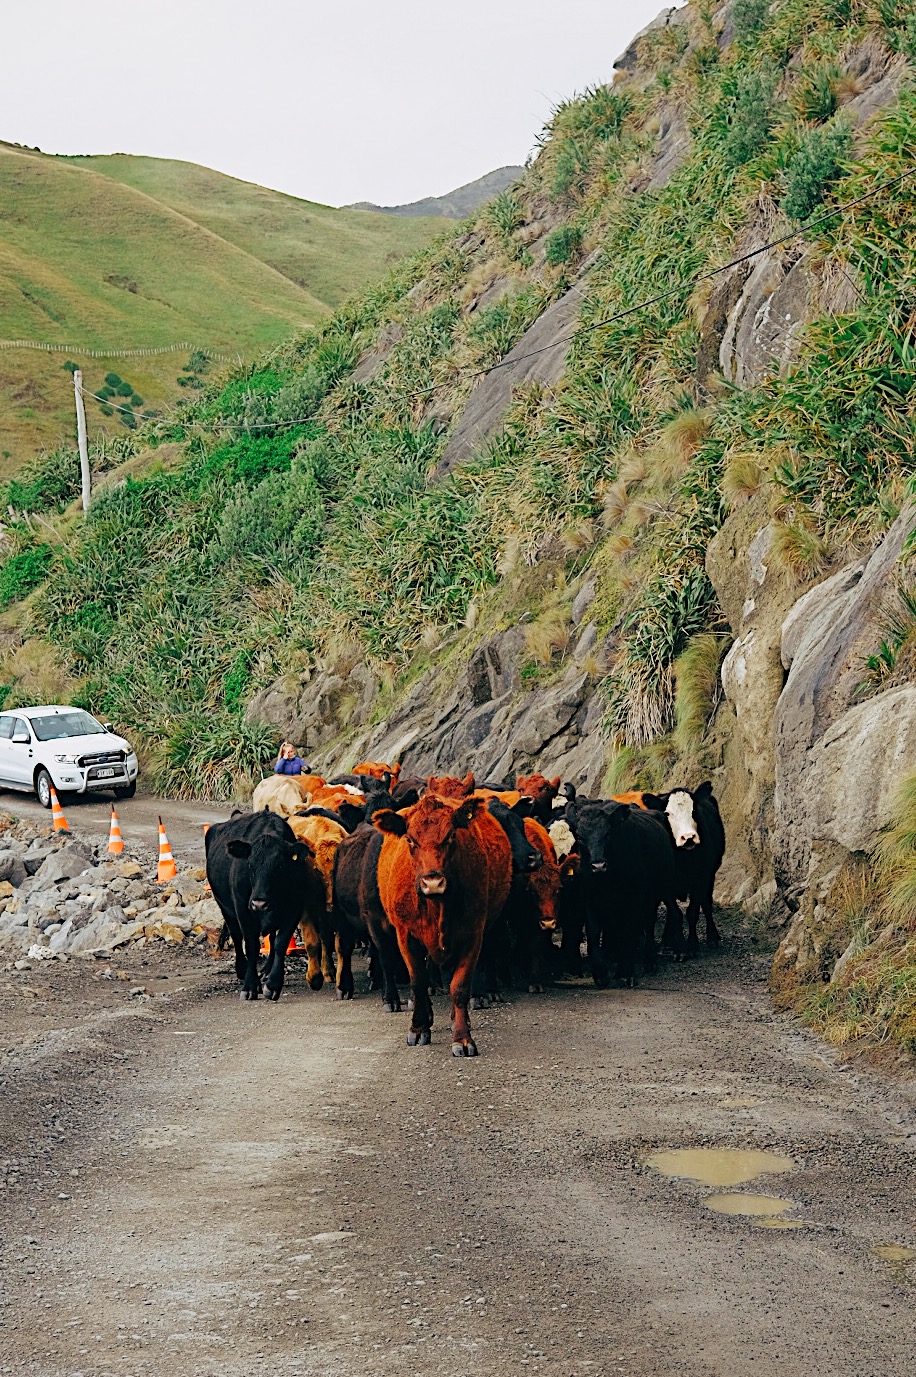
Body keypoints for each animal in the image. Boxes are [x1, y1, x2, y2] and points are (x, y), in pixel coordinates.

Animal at [205, 804, 323, 1002]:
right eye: (250, 865)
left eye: (280, 866)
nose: (259, 903)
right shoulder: (243, 910)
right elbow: (251, 945)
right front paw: (250, 986)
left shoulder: (293, 910)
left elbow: (280, 943)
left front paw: (273, 985)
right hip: (225, 907)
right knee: (236, 935)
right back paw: (242, 969)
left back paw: (266, 971)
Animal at [374, 793, 515, 1057]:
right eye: (410, 839)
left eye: (451, 836)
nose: (433, 882)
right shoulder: (406, 936)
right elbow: (418, 981)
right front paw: (419, 1028)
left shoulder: (473, 933)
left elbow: (459, 986)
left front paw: (462, 1037)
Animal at [573, 798, 677, 991]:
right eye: (580, 837)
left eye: (608, 834)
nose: (598, 865)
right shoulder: (590, 900)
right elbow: (594, 932)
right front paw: (601, 972)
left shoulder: (633, 900)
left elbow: (628, 930)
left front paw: (626, 972)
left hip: (655, 894)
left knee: (649, 923)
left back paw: (650, 960)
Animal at [639, 782, 727, 952]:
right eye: (667, 813)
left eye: (694, 810)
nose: (688, 837)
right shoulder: (666, 883)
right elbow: (675, 913)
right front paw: (680, 947)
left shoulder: (701, 878)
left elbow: (693, 912)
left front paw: (692, 945)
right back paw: (667, 940)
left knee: (707, 904)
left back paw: (713, 937)